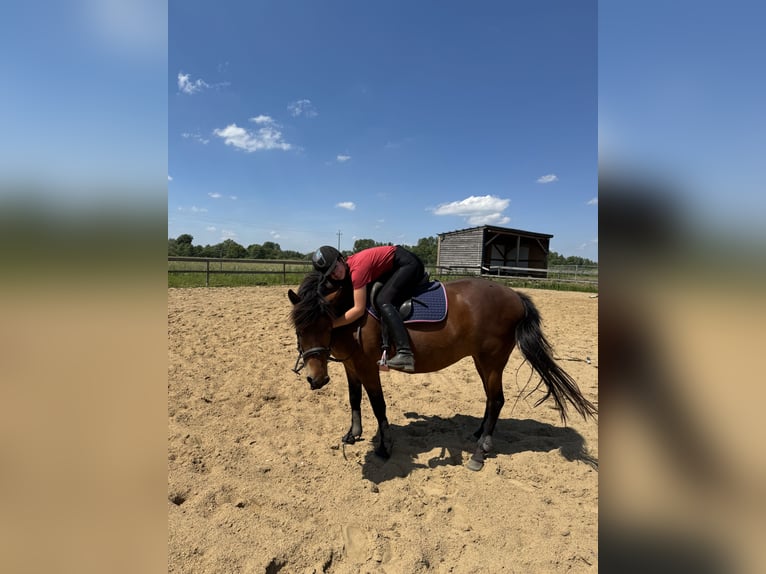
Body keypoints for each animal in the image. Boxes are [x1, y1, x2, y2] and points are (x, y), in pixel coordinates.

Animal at [292, 274, 596, 472]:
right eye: (299, 329)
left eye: (325, 323)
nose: (316, 379)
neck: (352, 314)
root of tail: (515, 296)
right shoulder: (350, 366)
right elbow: (354, 399)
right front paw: (352, 435)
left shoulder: (368, 368)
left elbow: (378, 406)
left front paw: (384, 447)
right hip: (481, 361)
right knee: (490, 399)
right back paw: (480, 435)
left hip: (492, 360)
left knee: (497, 399)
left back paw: (479, 455)